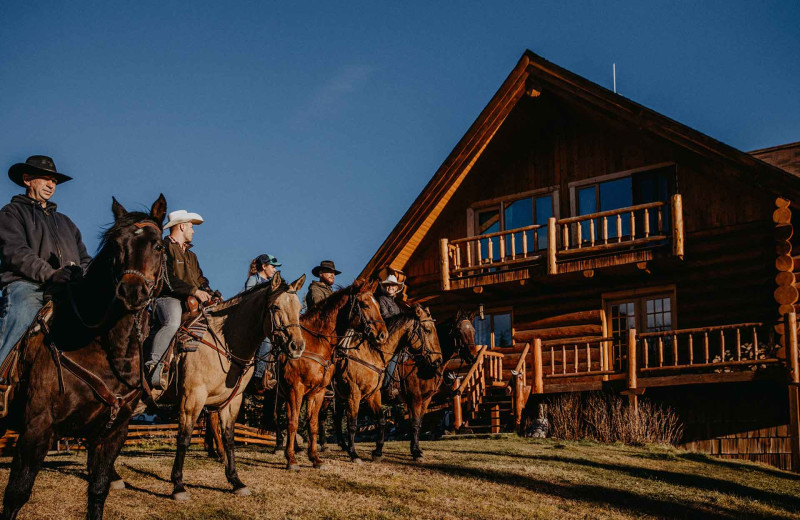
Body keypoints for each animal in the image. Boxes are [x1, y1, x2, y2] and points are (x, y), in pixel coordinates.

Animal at [1, 195, 167, 520]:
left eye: (158, 246)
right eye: (116, 245)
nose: (131, 291)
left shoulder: (112, 434)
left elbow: (98, 492)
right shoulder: (36, 428)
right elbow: (16, 494)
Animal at [278, 280, 388, 472]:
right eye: (365, 305)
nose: (383, 334)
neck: (314, 344)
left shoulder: (318, 392)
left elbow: (312, 423)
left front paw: (314, 458)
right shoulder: (295, 389)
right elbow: (293, 422)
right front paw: (291, 460)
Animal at [332, 304, 444, 464]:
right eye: (428, 330)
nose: (438, 360)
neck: (370, 354)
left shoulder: (422, 399)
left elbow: (388, 421)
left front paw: (379, 452)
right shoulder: (355, 394)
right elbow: (352, 424)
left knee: (335, 418)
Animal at [394, 306, 476, 462]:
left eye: (473, 331)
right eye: (459, 332)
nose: (473, 357)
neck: (423, 364)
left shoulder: (425, 399)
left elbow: (418, 423)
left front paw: (416, 449)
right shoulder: (415, 398)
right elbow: (414, 423)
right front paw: (416, 452)